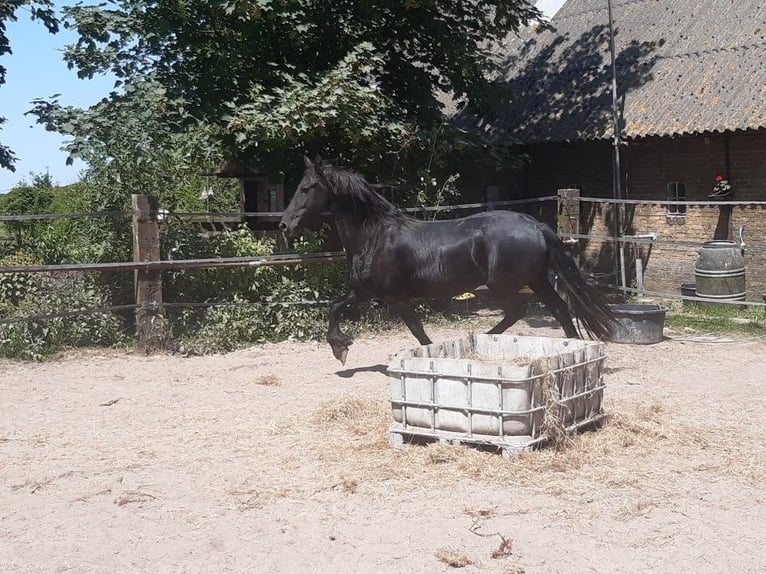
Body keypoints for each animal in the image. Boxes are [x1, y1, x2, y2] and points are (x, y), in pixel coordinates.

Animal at [279, 156, 614, 364]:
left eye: (306, 188)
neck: (375, 235)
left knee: (519, 310)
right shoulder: (364, 292)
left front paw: (342, 348)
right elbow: (335, 306)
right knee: (558, 309)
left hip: (504, 285)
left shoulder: (394, 297)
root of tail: (535, 225)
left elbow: (417, 330)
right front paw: (341, 347)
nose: (284, 225)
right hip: (536, 279)